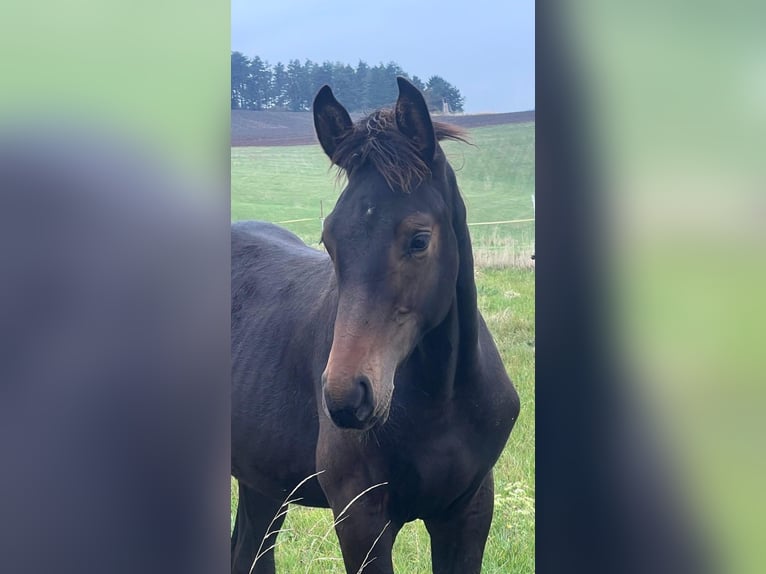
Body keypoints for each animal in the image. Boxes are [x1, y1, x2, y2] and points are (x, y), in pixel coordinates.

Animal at [231, 77, 520, 574]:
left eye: (419, 239)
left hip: (263, 482)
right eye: (329, 239)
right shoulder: (360, 515)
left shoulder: (470, 510)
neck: (442, 399)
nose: (345, 397)